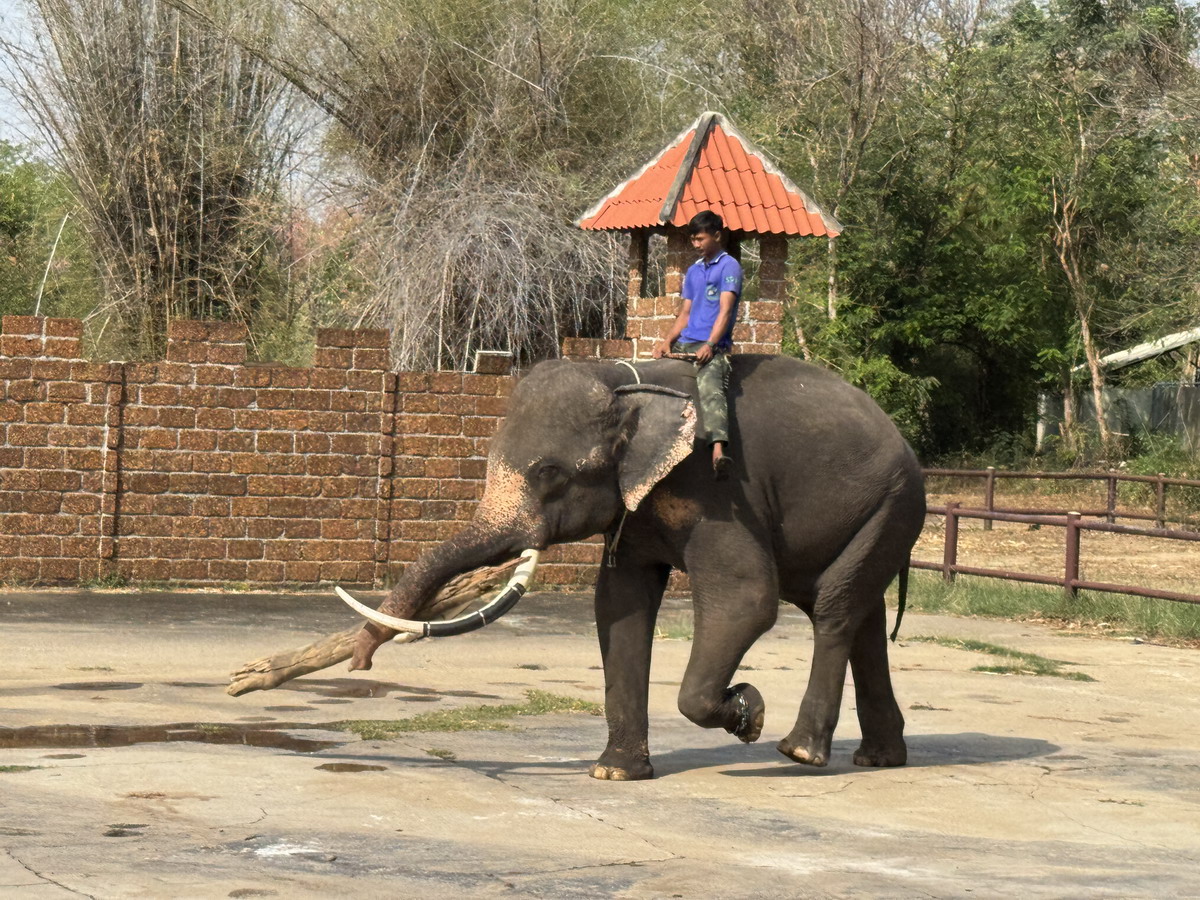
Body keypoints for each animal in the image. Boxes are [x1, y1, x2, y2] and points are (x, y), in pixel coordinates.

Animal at [343, 355, 921, 782]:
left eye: (550, 473)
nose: (360, 663)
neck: (623, 380)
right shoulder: (635, 509)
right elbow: (619, 604)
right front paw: (615, 773)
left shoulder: (719, 491)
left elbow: (747, 598)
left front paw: (749, 712)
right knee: (859, 612)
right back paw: (880, 758)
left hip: (893, 502)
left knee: (834, 609)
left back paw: (798, 752)